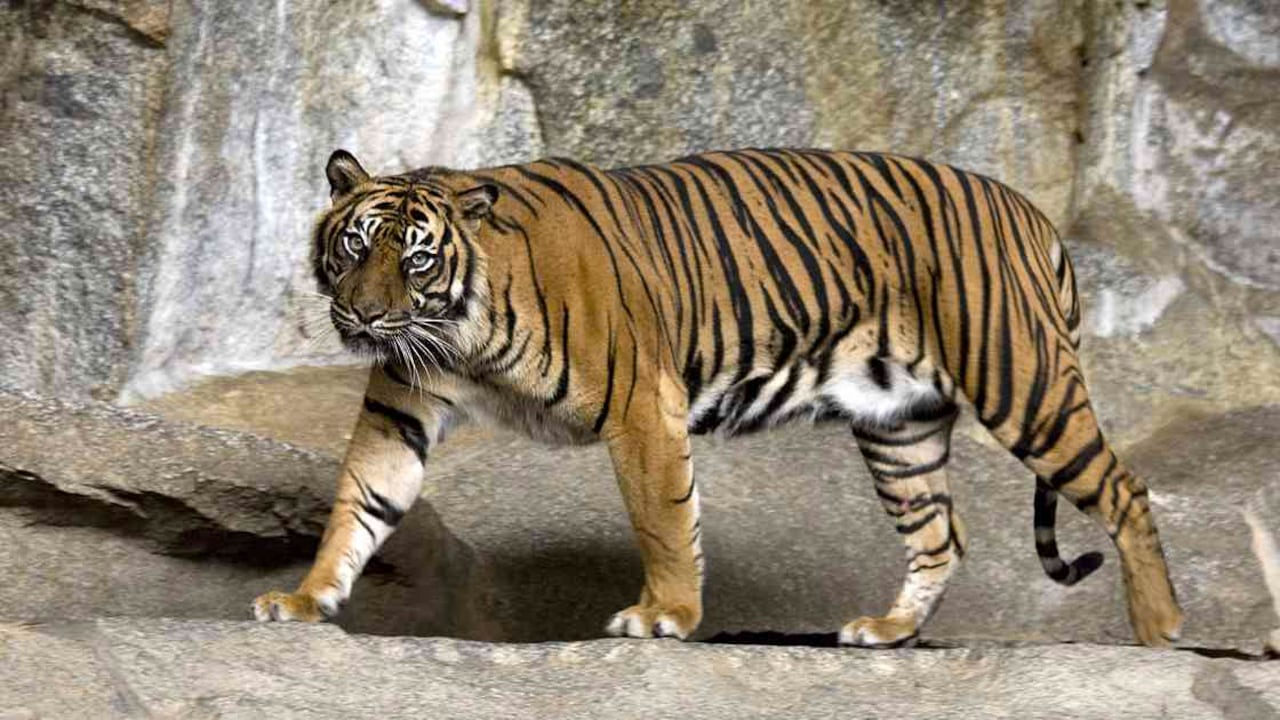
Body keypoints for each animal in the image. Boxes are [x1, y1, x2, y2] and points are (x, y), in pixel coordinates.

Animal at [252, 147, 1183, 647]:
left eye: (415, 259)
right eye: (355, 246)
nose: (365, 315)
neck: (459, 333)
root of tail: (1030, 210)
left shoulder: (641, 402)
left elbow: (663, 519)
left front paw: (664, 614)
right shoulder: (400, 409)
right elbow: (359, 506)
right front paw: (304, 599)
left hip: (1022, 381)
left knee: (1125, 490)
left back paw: (1160, 631)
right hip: (901, 425)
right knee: (939, 536)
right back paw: (886, 632)